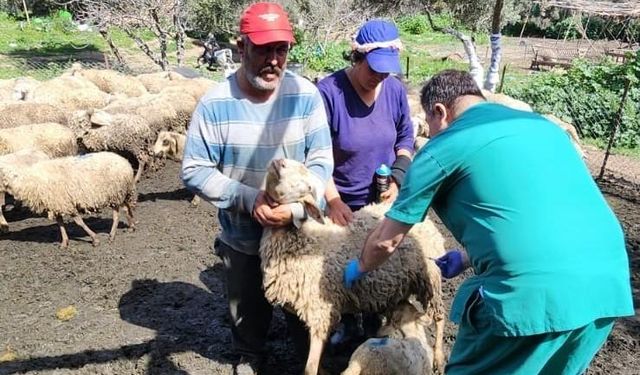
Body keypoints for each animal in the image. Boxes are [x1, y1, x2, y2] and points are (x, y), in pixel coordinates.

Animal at [1, 151, 137, 248]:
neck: (26, 181)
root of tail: (125, 161)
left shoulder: (66, 203)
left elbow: (79, 222)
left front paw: (95, 239)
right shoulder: (57, 204)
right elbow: (60, 223)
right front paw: (64, 242)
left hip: (116, 193)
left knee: (117, 215)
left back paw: (112, 235)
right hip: (122, 193)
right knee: (127, 208)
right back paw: (131, 227)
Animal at [260, 158, 444, 375]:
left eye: (308, 184)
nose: (278, 162)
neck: (304, 239)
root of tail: (426, 219)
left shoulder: (320, 310)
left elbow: (310, 366)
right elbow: (317, 361)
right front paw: (325, 370)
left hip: (431, 277)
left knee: (439, 317)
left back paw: (439, 357)